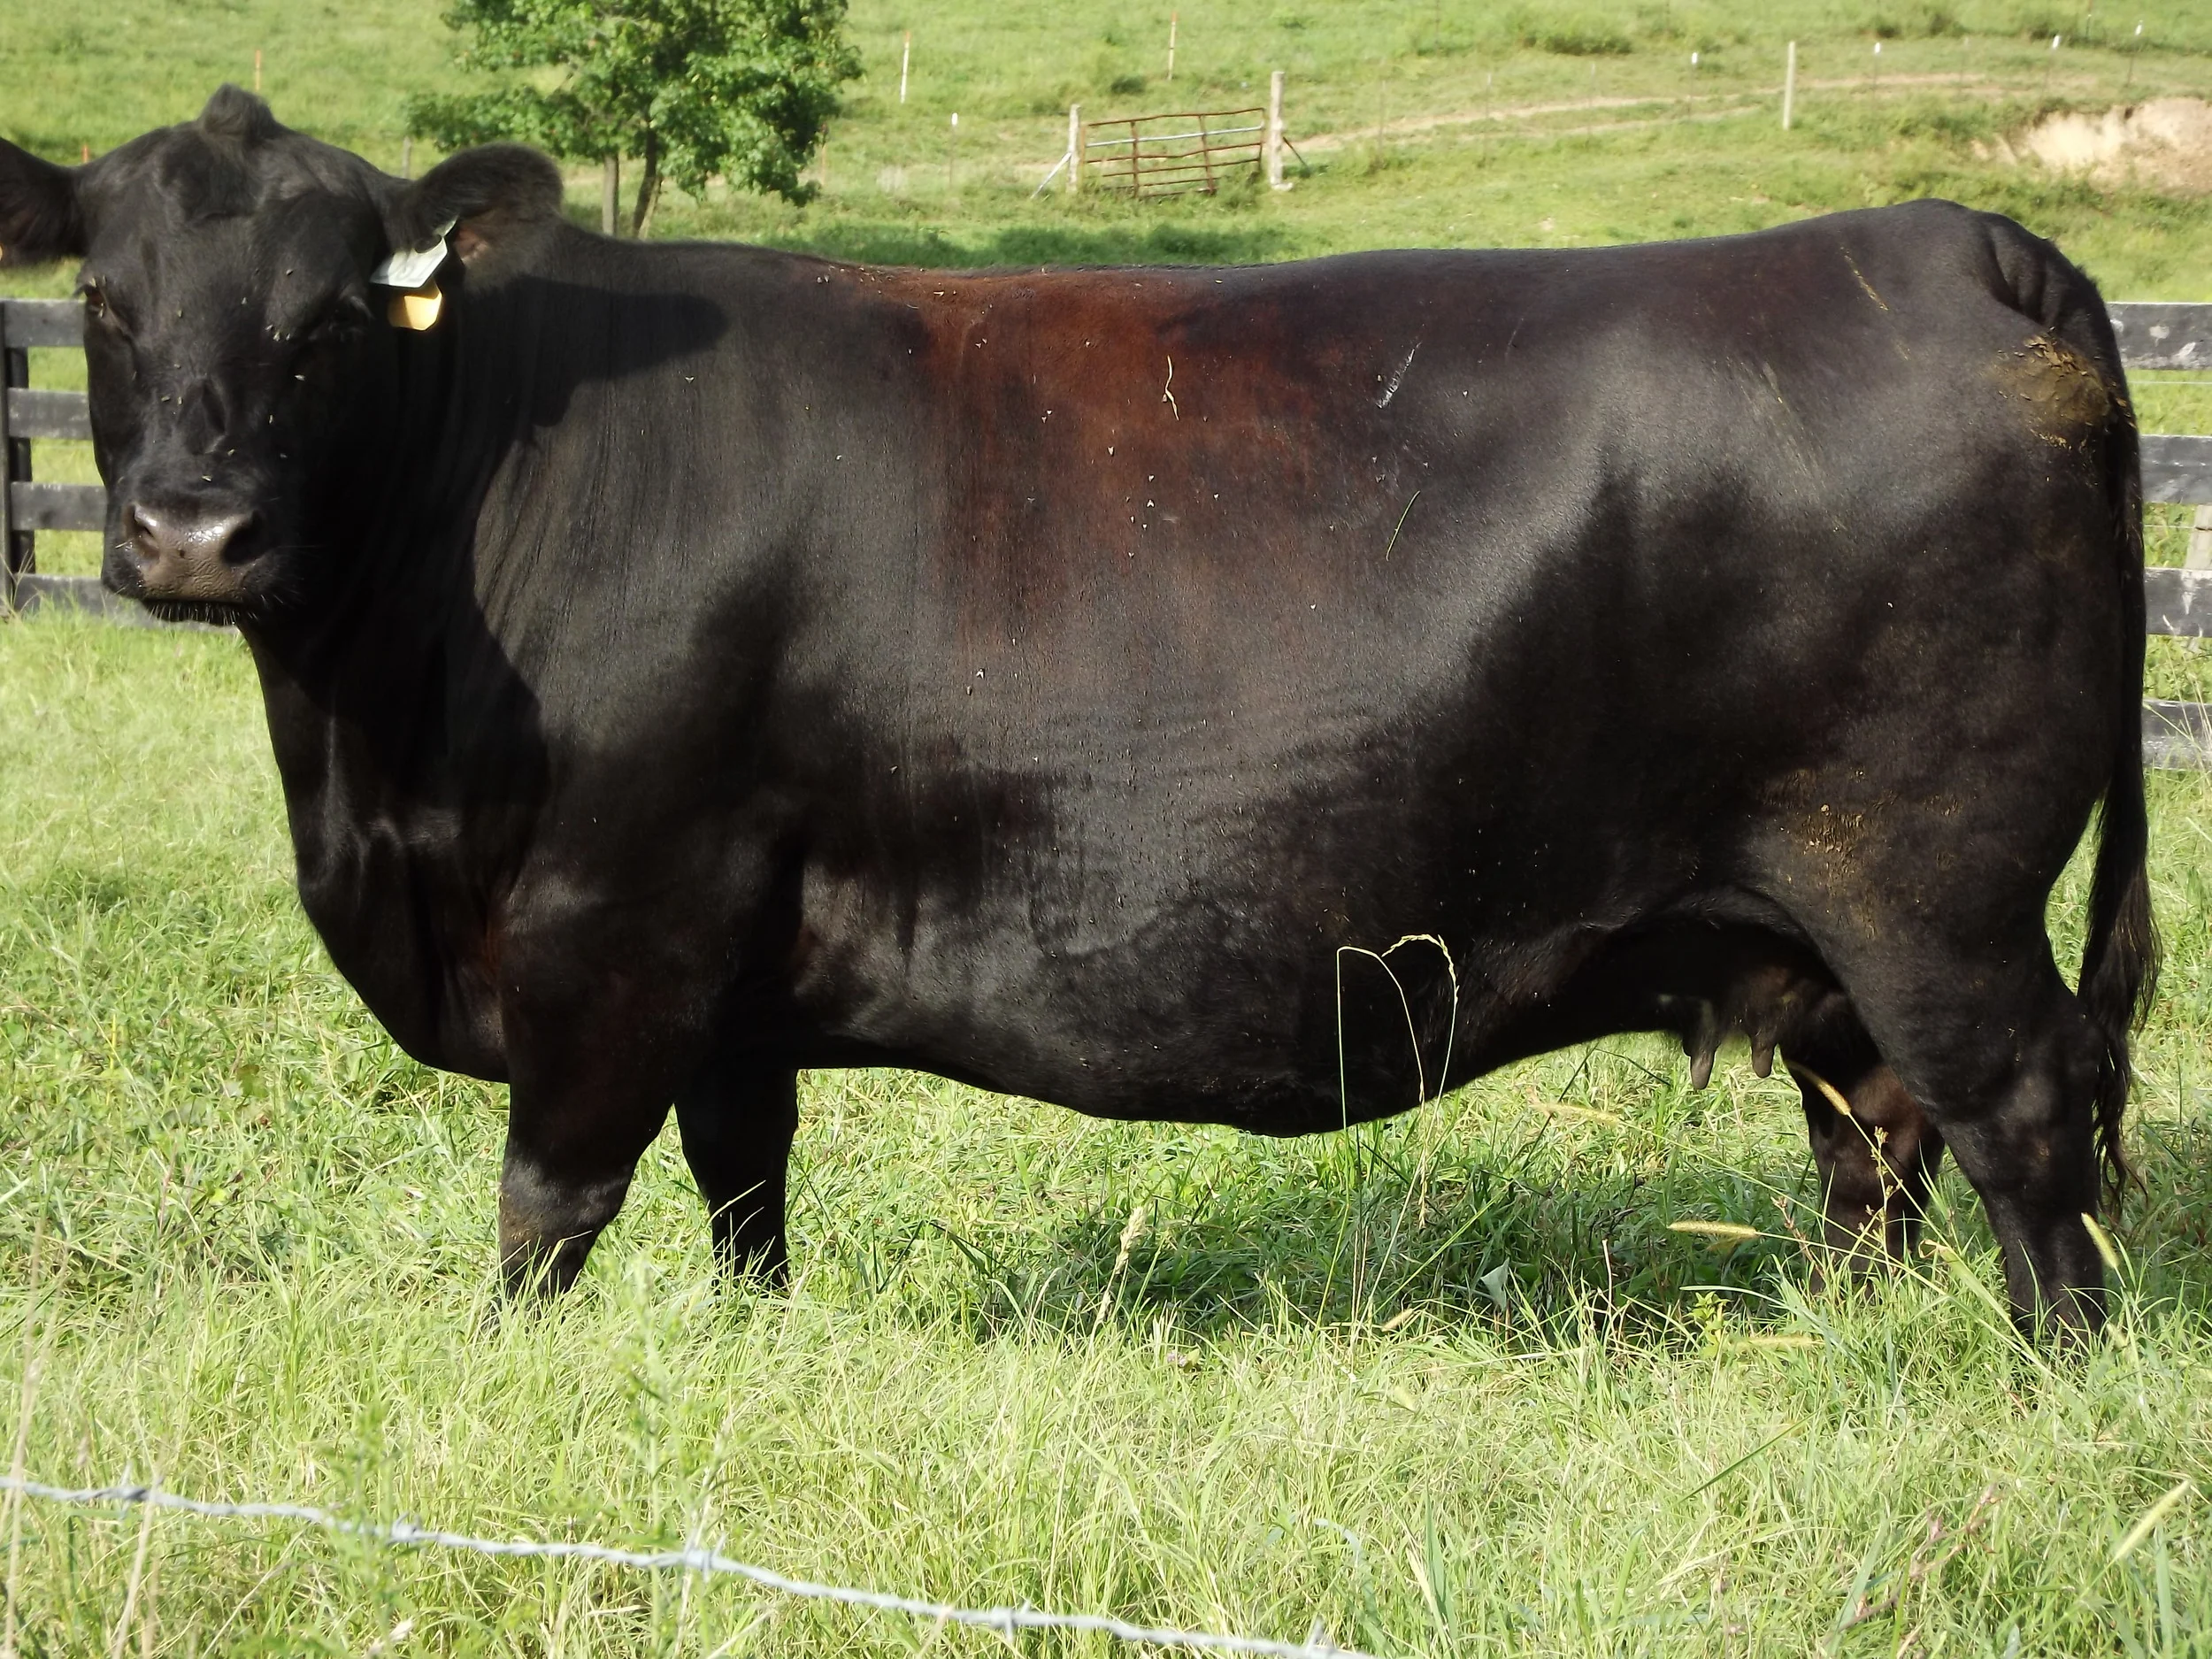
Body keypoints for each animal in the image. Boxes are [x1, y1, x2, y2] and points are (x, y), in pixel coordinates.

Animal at [0, 88, 2155, 1335]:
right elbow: (743, 1184)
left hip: (1929, 887)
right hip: (1833, 929)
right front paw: (753, 1360)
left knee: (2022, 1115)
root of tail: (1944, 237)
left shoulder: (613, 921)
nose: (187, 531)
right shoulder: (732, 964)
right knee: (1875, 1133)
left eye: (329, 321)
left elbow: (551, 1206)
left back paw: (2046, 1374)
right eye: (104, 303)